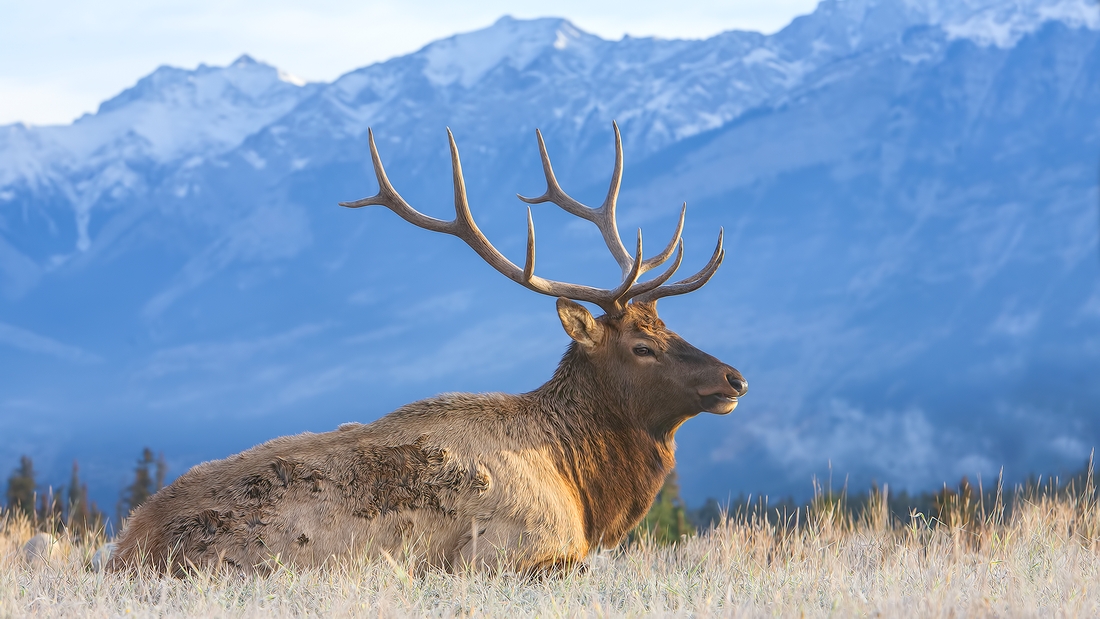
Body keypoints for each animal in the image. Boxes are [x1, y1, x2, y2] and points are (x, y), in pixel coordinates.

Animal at [107, 123, 748, 580]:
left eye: (669, 328)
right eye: (643, 347)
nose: (735, 378)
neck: (584, 487)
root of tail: (126, 548)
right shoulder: (506, 552)